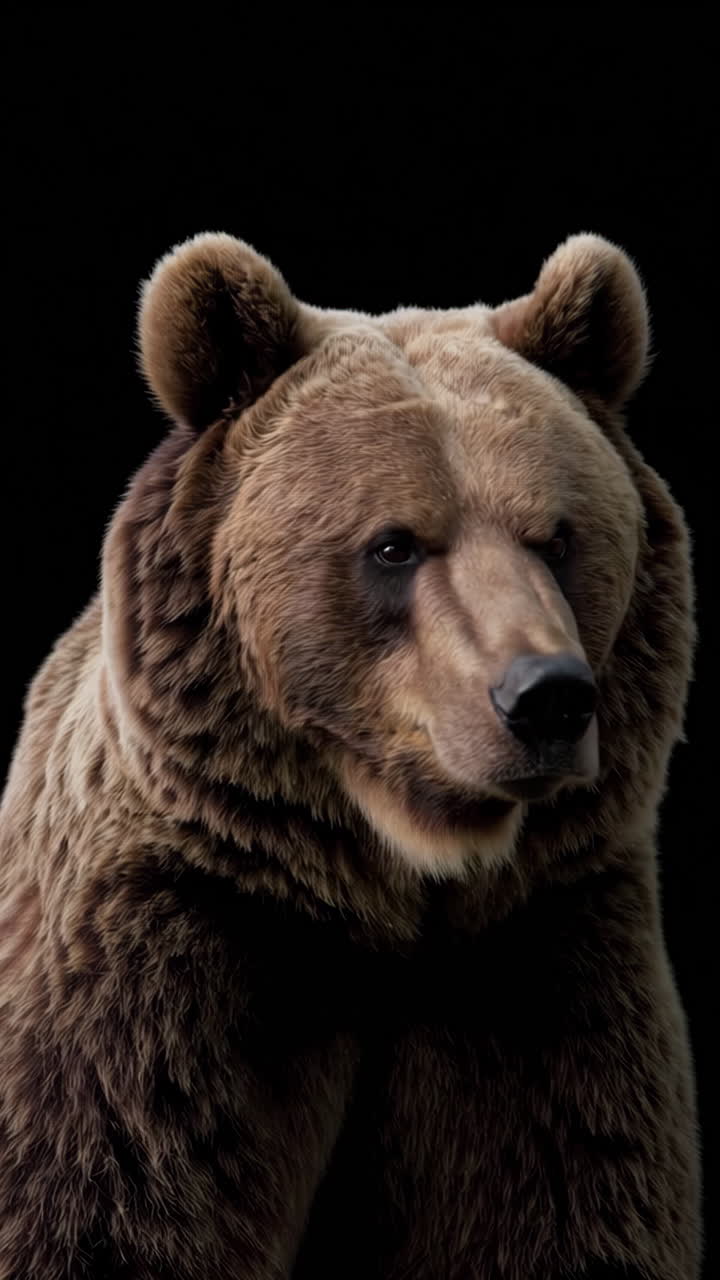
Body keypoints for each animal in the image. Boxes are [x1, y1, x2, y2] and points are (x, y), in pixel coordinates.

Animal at [0, 230, 701, 1279]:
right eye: (394, 545)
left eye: (558, 536)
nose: (546, 698)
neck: (390, 887)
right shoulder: (156, 967)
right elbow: (103, 1201)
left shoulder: (542, 962)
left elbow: (570, 1193)